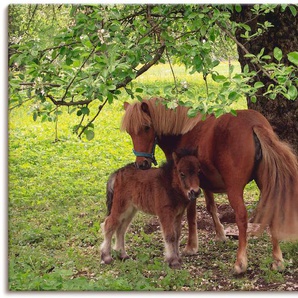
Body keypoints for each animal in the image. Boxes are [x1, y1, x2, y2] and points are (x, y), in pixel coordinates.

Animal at [121, 98, 298, 274]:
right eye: (129, 132)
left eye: (146, 127)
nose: (141, 164)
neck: (183, 132)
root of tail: (255, 124)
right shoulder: (204, 183)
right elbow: (211, 207)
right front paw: (220, 234)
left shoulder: (188, 187)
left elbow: (191, 214)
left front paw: (191, 246)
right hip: (267, 183)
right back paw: (277, 261)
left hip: (234, 189)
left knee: (241, 217)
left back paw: (240, 263)